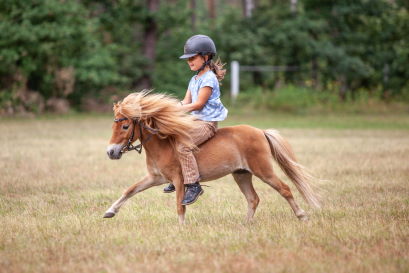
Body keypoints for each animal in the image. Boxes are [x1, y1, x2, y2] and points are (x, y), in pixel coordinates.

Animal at [103, 90, 318, 222]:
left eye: (125, 126)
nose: (111, 152)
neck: (162, 144)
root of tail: (260, 132)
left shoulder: (179, 179)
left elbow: (180, 205)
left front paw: (181, 229)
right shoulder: (156, 178)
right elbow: (130, 190)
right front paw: (110, 212)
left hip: (263, 170)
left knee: (285, 189)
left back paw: (302, 216)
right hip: (241, 174)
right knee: (253, 199)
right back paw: (246, 224)